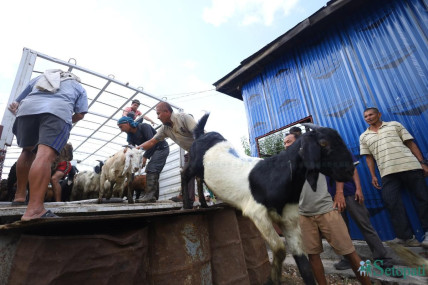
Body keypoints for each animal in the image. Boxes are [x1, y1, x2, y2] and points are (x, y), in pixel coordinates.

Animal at [181, 113, 354, 284]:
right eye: (323, 143)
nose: (350, 171)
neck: (275, 174)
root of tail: (202, 135)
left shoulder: (289, 219)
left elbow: (302, 260)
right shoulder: (256, 212)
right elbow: (279, 248)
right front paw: (272, 279)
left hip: (202, 171)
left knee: (199, 179)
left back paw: (204, 204)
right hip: (195, 163)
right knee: (185, 174)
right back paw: (187, 205)